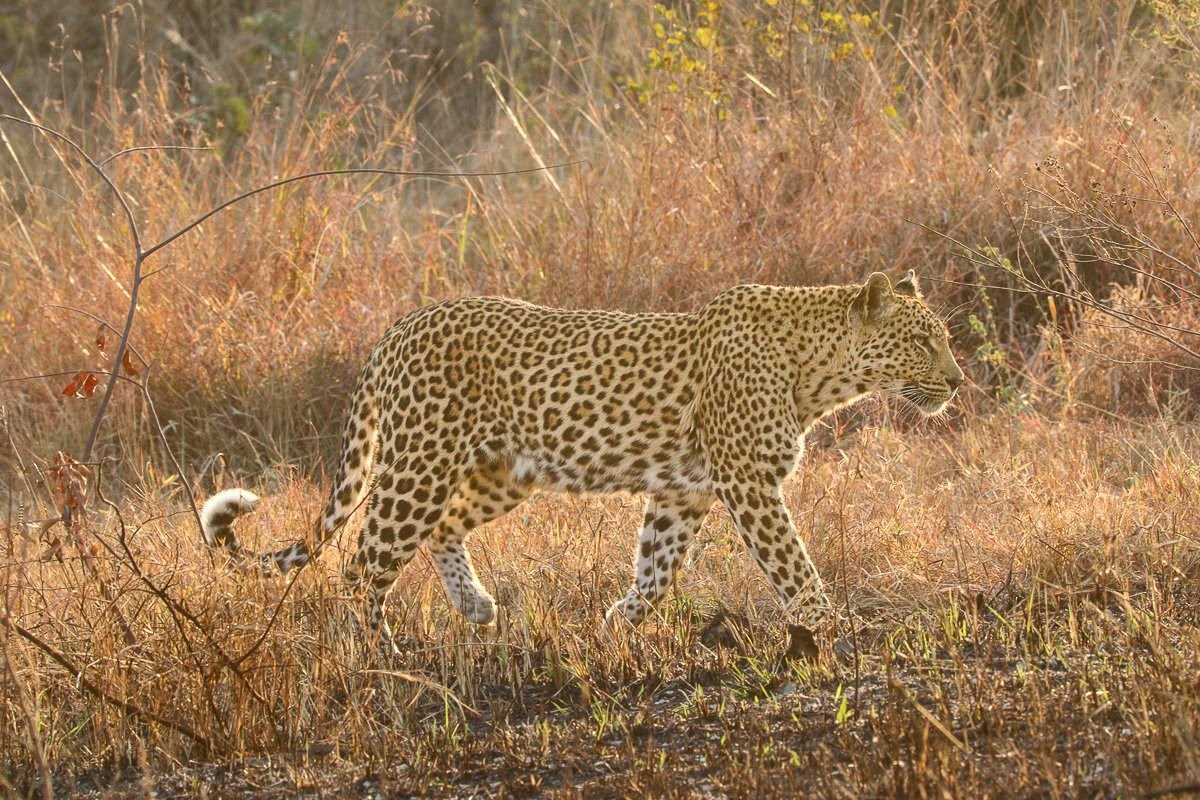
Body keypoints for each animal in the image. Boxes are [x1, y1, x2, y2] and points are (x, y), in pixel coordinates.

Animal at [201, 270, 964, 648]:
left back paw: (475, 606)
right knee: (362, 563)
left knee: (441, 529)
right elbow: (793, 566)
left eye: (944, 339)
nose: (957, 382)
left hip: (498, 472)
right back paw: (379, 654)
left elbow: (657, 569)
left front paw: (617, 625)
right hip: (419, 466)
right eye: (923, 342)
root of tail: (399, 327)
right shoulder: (747, 480)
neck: (820, 372)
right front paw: (831, 631)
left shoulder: (684, 492)